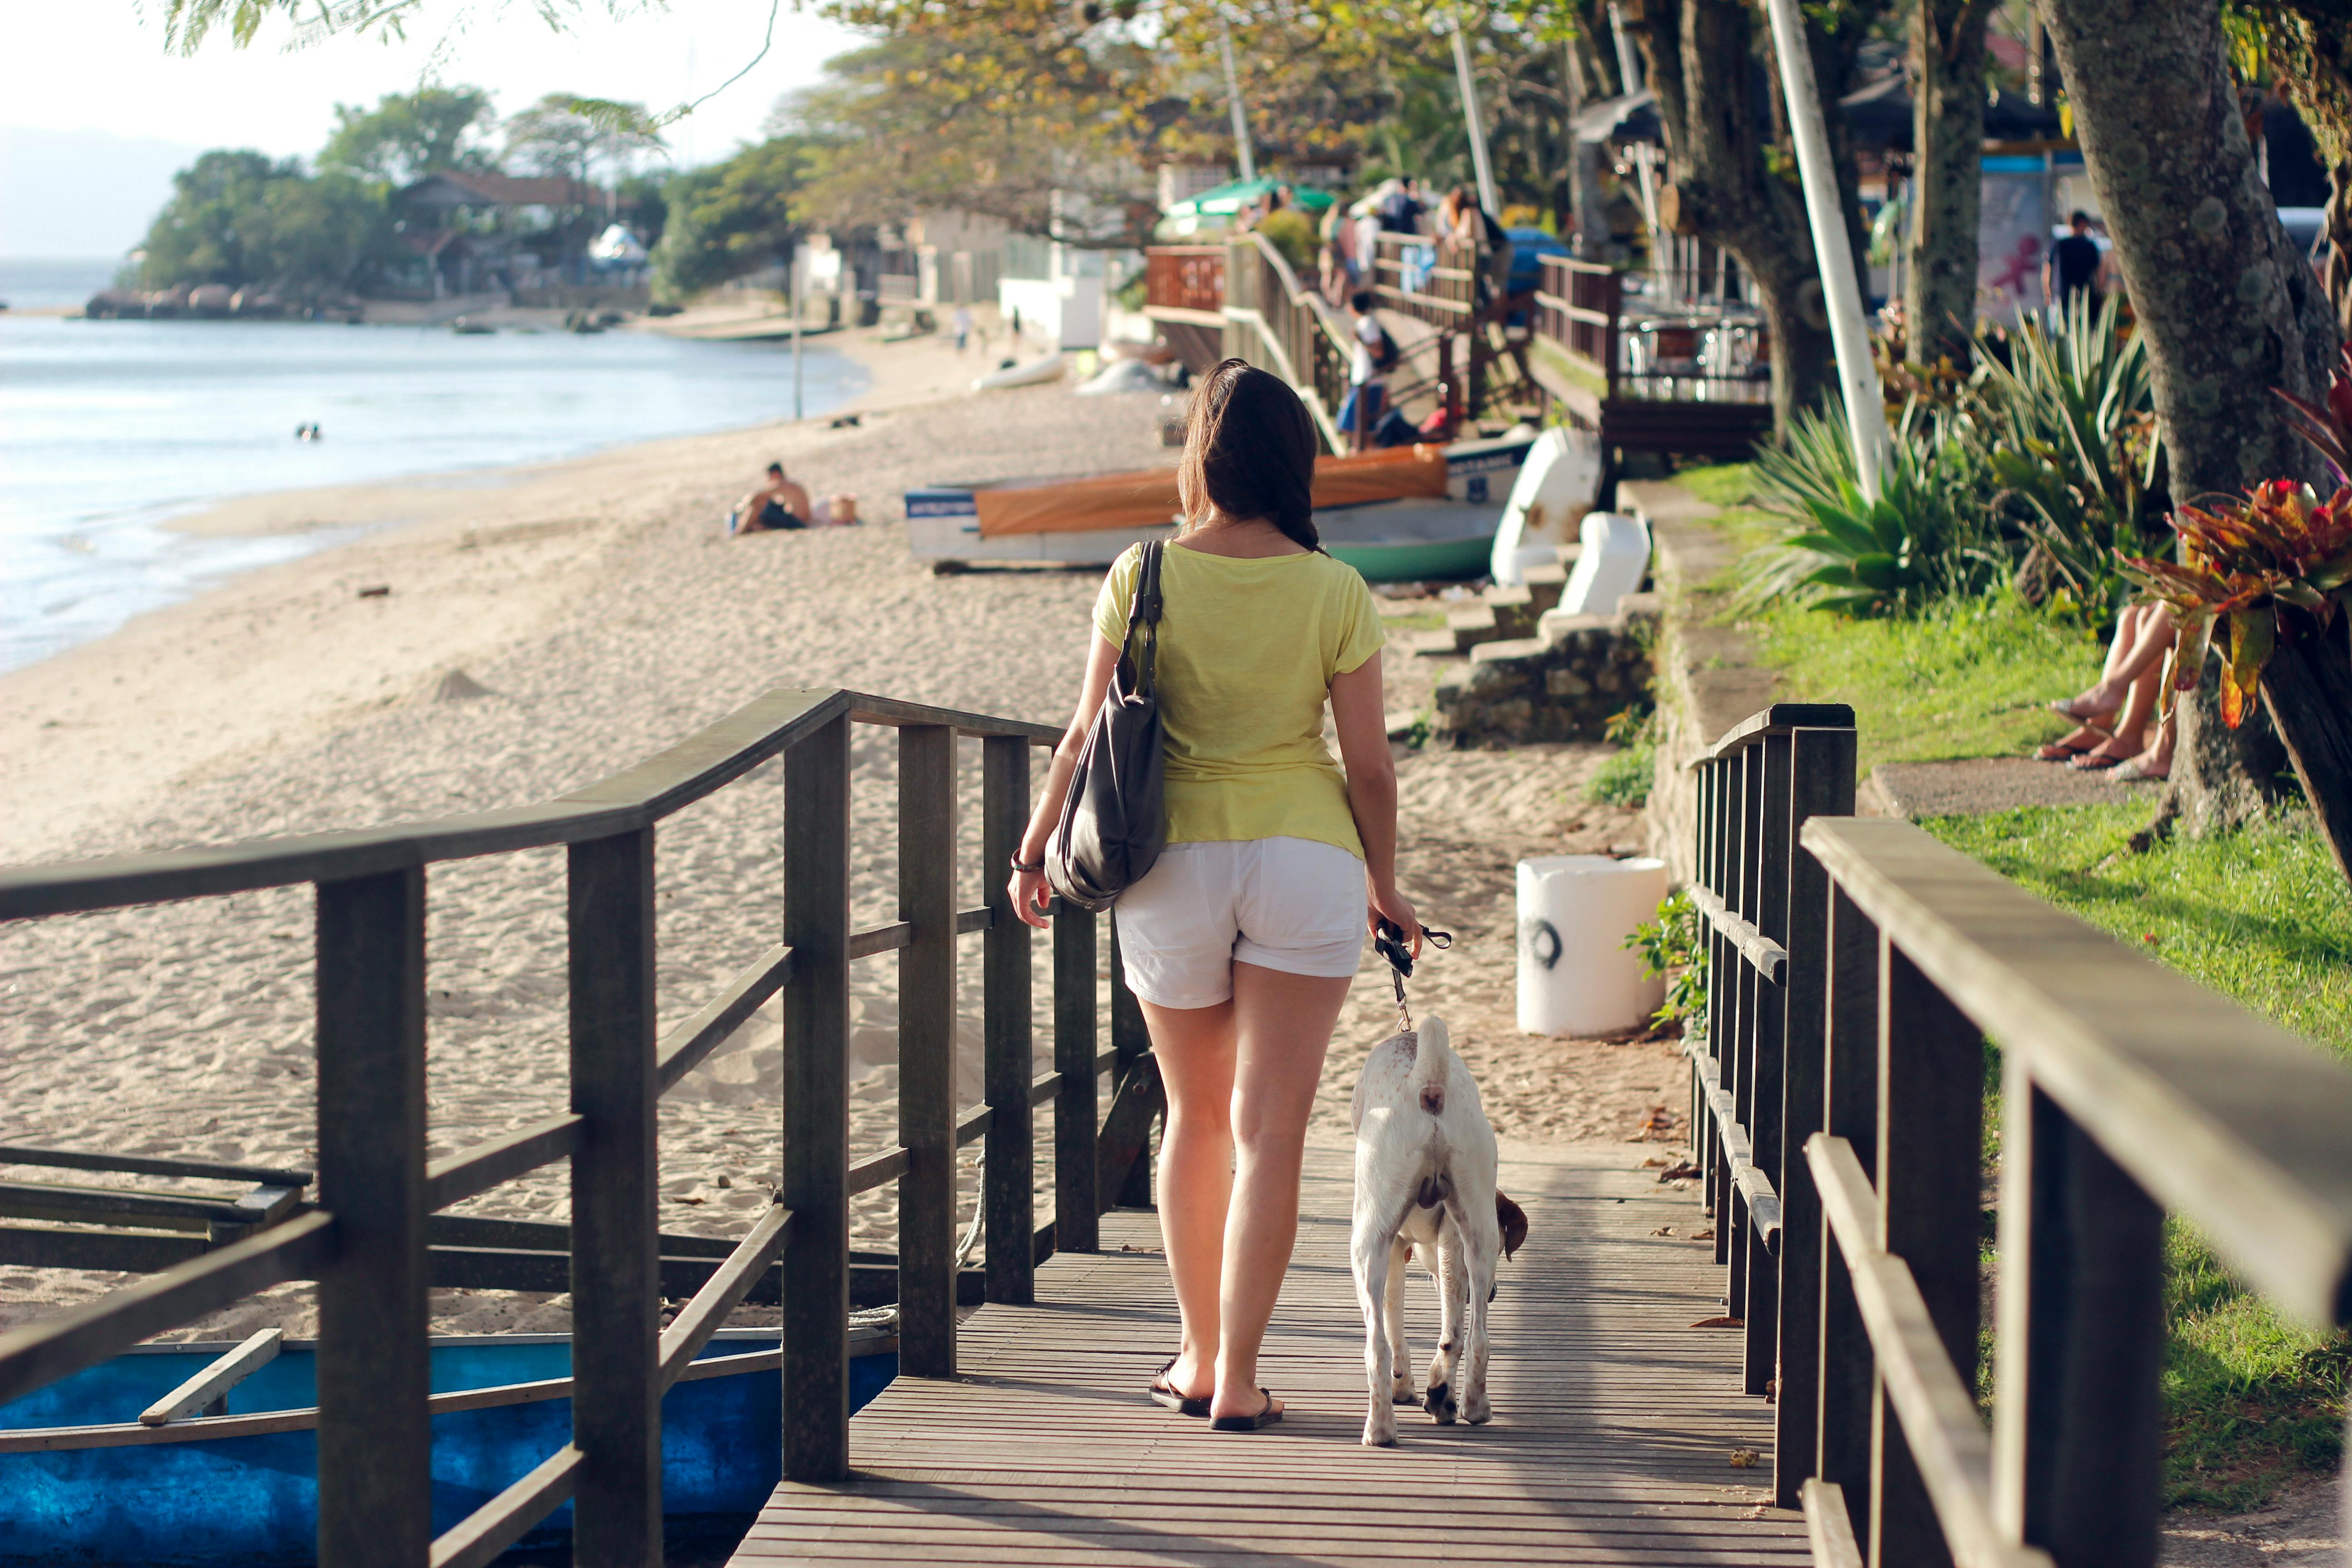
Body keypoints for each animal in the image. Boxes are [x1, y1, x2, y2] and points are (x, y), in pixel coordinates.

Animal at [1354, 1020, 1533, 1448]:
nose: (1494, 1293)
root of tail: (1429, 1085)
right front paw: (1440, 1396)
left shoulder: (1395, 1248)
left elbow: (1394, 1326)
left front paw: (1404, 1387)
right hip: (1476, 1230)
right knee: (1472, 1337)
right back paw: (1467, 1405)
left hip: (1367, 1243)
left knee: (1378, 1346)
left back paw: (1381, 1429)